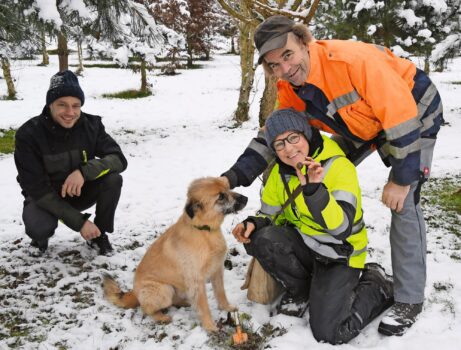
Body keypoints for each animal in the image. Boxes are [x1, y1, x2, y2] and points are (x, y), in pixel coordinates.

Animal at [103, 178, 248, 330]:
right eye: (220, 196)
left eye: (228, 187)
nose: (246, 198)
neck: (204, 230)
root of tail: (134, 293)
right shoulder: (196, 281)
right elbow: (203, 306)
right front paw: (210, 326)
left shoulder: (217, 270)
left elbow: (220, 293)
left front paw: (227, 307)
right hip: (164, 290)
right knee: (146, 309)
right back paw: (161, 317)